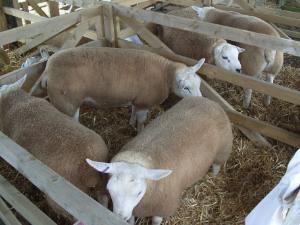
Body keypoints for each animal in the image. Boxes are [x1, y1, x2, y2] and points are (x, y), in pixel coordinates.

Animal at [43, 47, 205, 132]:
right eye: (186, 88)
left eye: (199, 84)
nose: (202, 103)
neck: (165, 74)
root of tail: (48, 69)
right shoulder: (144, 103)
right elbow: (141, 122)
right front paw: (139, 131)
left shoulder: (137, 100)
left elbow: (133, 111)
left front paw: (131, 123)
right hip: (67, 105)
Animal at [85, 96, 233, 225]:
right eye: (109, 190)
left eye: (139, 193)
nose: (120, 217)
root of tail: (209, 101)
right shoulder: (135, 209)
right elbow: (132, 218)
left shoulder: (163, 207)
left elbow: (156, 221)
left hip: (222, 150)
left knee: (216, 165)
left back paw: (213, 176)